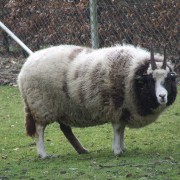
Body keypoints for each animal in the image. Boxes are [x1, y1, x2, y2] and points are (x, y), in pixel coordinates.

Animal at [17, 43, 178, 158]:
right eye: (151, 80)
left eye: (168, 79)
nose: (162, 96)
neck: (133, 77)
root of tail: (24, 68)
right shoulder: (117, 108)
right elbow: (118, 129)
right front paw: (117, 151)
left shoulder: (124, 111)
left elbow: (122, 130)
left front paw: (122, 148)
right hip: (41, 106)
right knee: (39, 130)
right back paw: (43, 154)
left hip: (63, 107)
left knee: (65, 128)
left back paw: (81, 150)